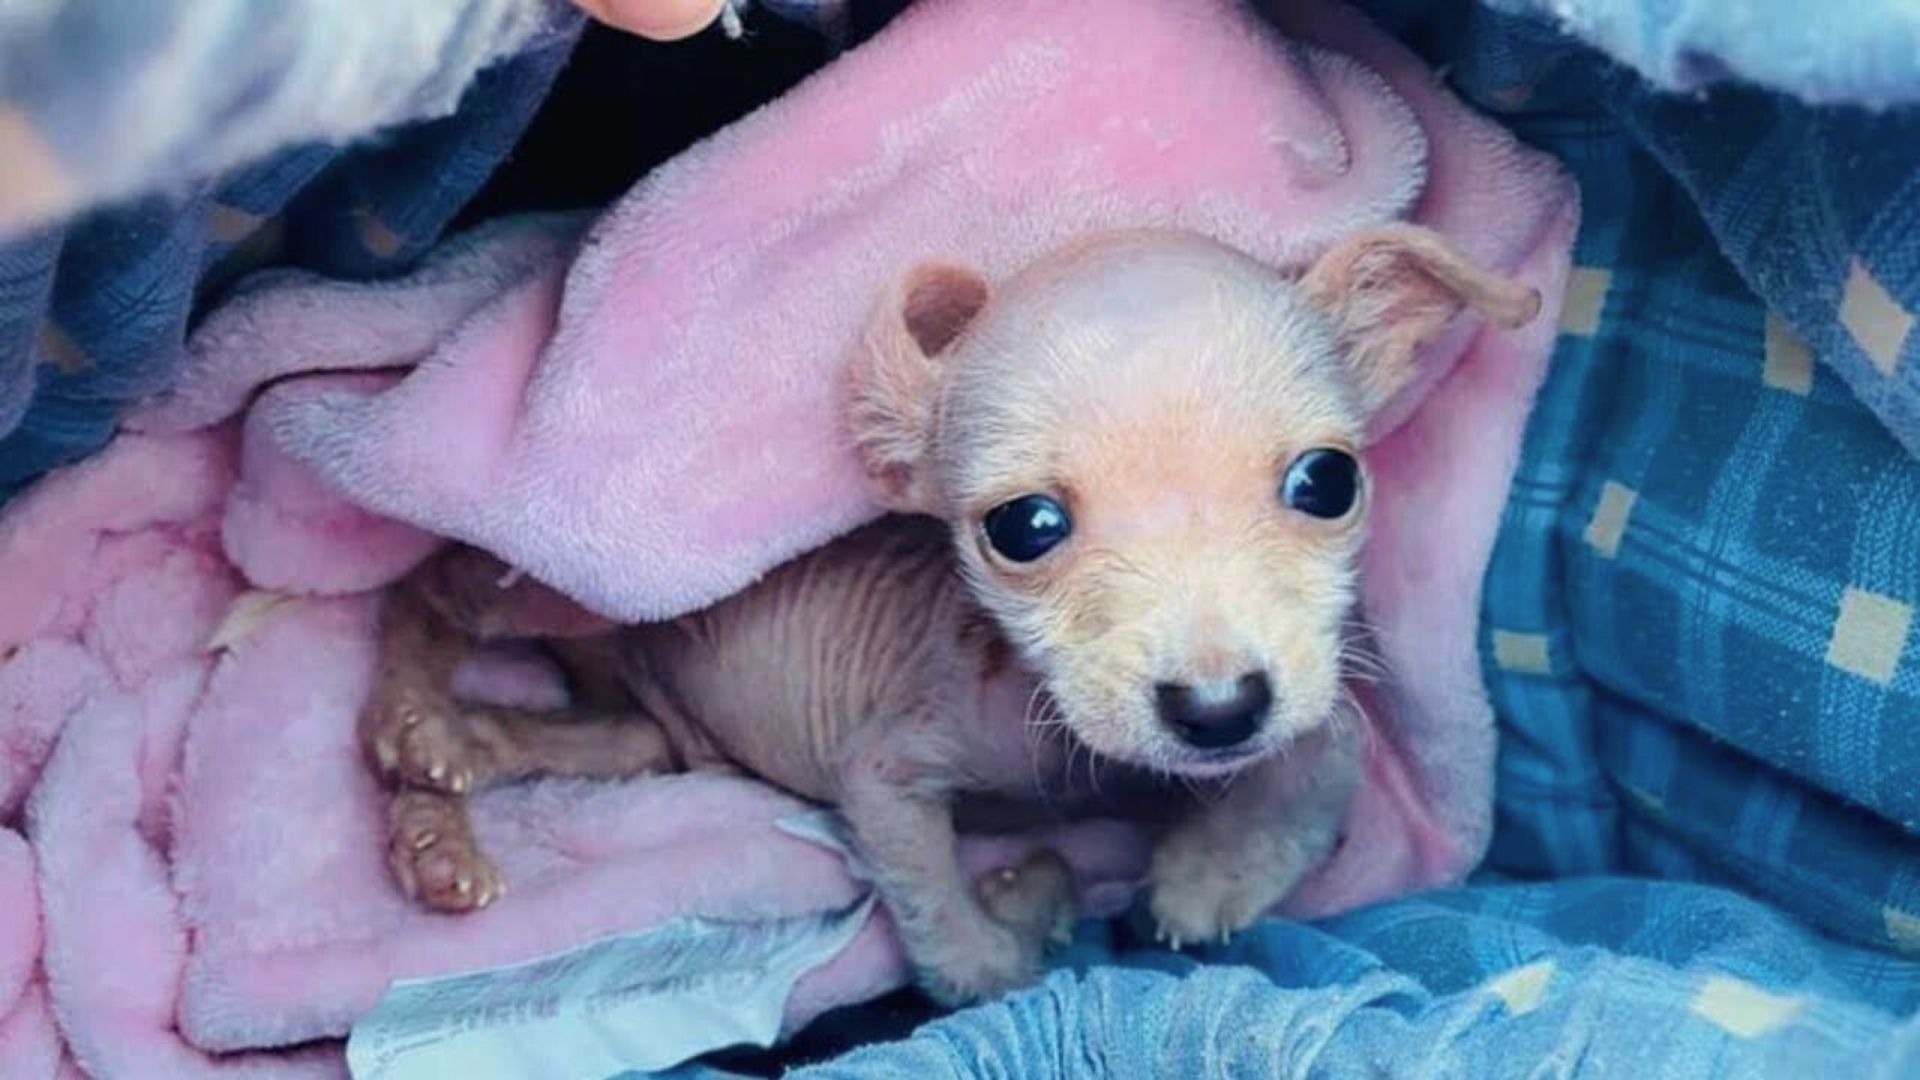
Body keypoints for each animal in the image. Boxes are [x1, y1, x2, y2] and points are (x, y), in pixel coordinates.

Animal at [360, 224, 1536, 999]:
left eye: (1327, 483)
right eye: (1023, 527)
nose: (1216, 711)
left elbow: (1330, 746)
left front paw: (1212, 875)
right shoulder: (886, 767)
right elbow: (961, 951)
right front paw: (1024, 917)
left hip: (644, 732)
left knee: (570, 739)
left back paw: (438, 807)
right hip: (569, 587)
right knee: (434, 590)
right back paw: (412, 723)